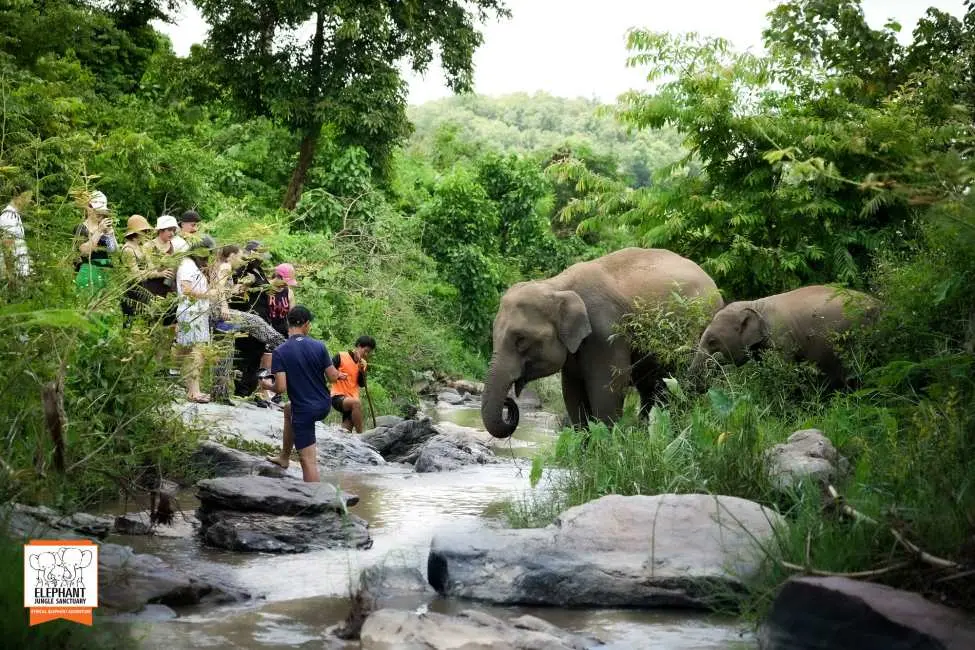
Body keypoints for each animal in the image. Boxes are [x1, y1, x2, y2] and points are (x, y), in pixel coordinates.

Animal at [481, 247, 723, 439]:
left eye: (521, 340)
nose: (509, 403)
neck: (556, 284)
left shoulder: (606, 333)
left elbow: (608, 387)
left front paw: (604, 446)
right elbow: (572, 390)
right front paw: (584, 448)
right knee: (653, 387)